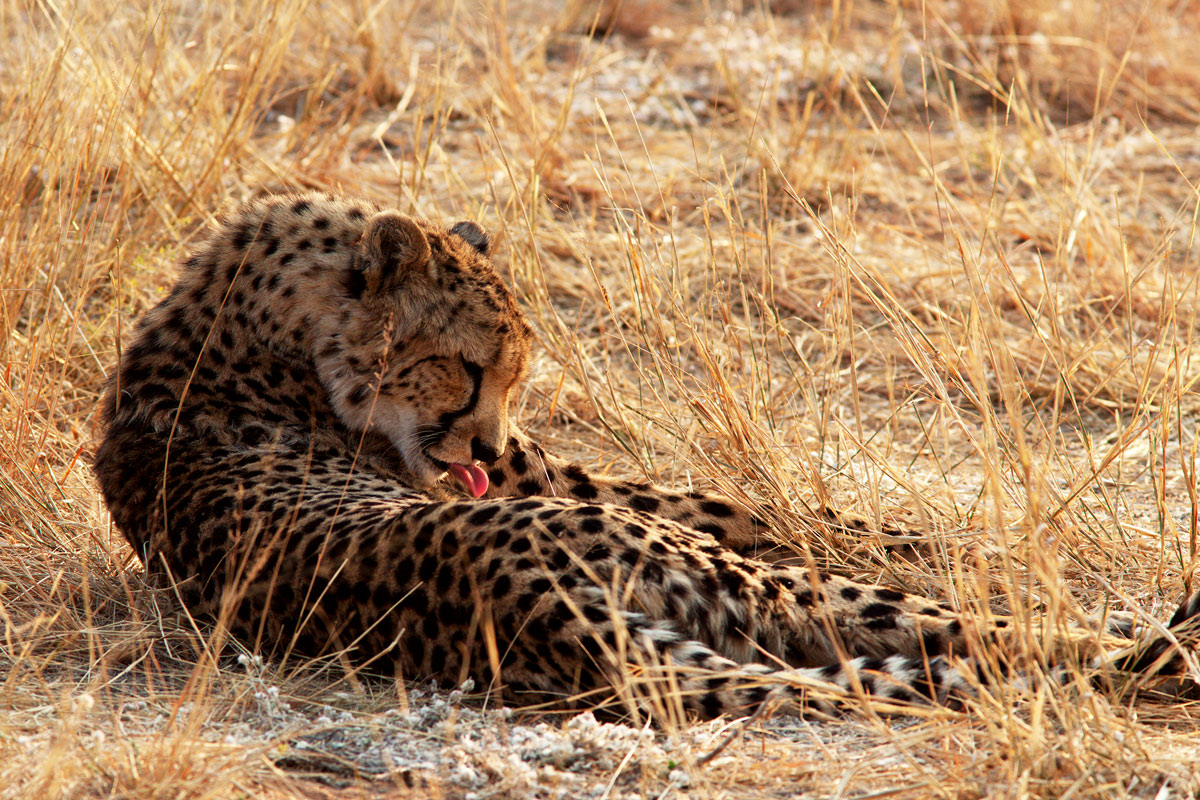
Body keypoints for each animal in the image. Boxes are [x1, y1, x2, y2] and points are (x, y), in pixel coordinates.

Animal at [94, 191, 1200, 720]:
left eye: (512, 371)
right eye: (466, 366)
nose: (484, 447)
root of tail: (540, 609)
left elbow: (755, 500)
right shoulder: (564, 484)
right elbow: (760, 511)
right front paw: (972, 548)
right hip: (741, 593)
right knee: (966, 631)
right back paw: (1131, 627)